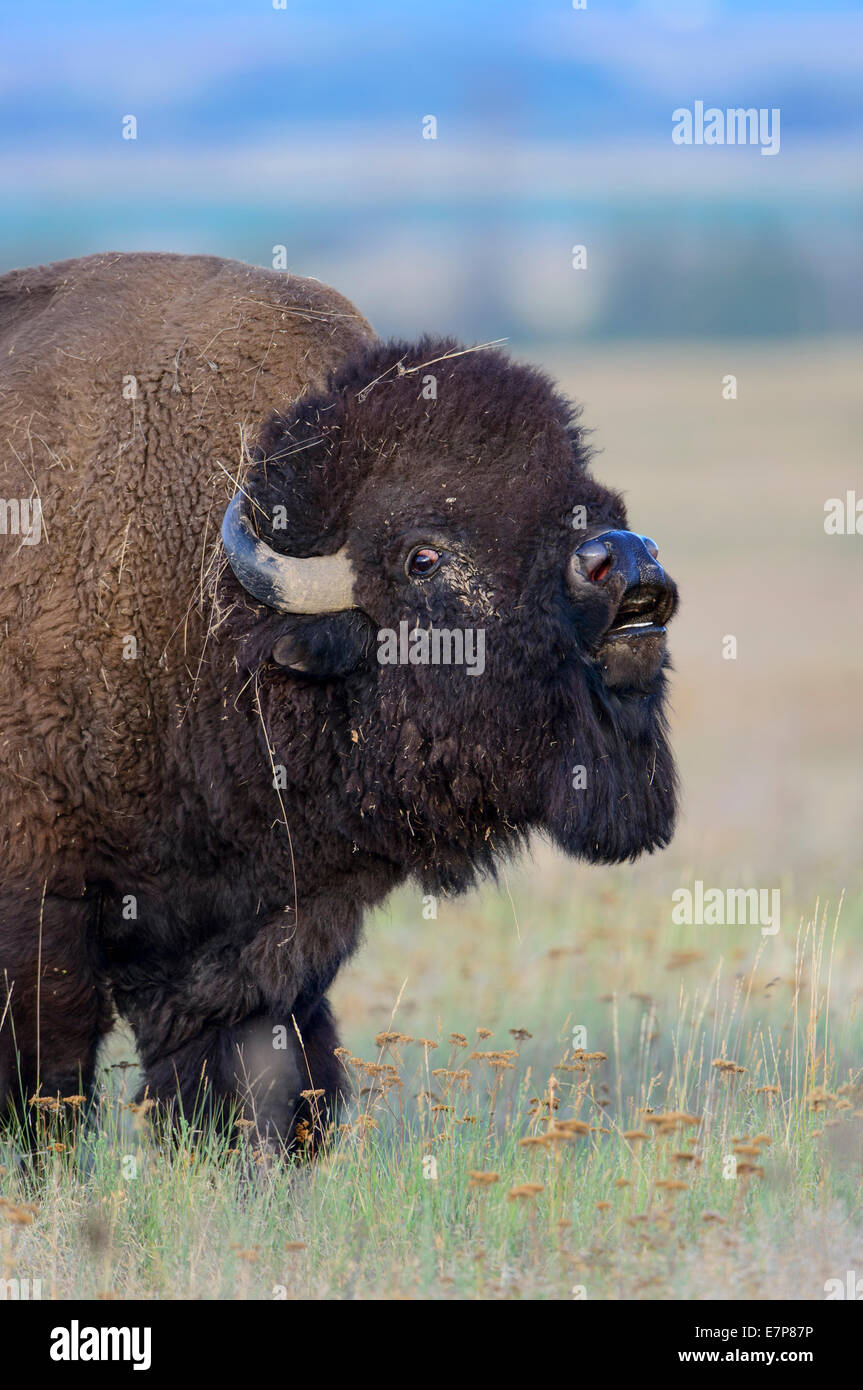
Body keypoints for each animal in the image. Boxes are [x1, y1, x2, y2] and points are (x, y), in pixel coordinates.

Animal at [0, 252, 678, 1147]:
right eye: (422, 557)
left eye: (594, 502)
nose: (624, 561)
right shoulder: (40, 916)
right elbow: (48, 1087)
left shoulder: (262, 943)